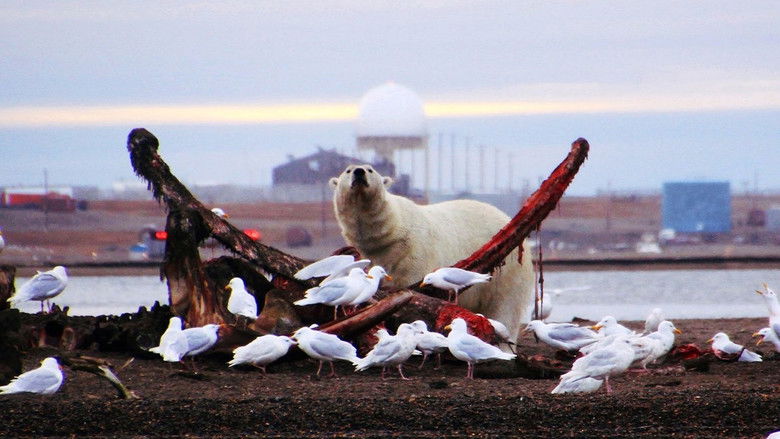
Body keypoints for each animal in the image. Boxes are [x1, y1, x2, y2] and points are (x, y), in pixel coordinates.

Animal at [329, 163, 535, 345]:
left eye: (370, 169)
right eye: (348, 170)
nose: (359, 172)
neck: (390, 235)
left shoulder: (415, 253)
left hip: (508, 270)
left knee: (505, 308)